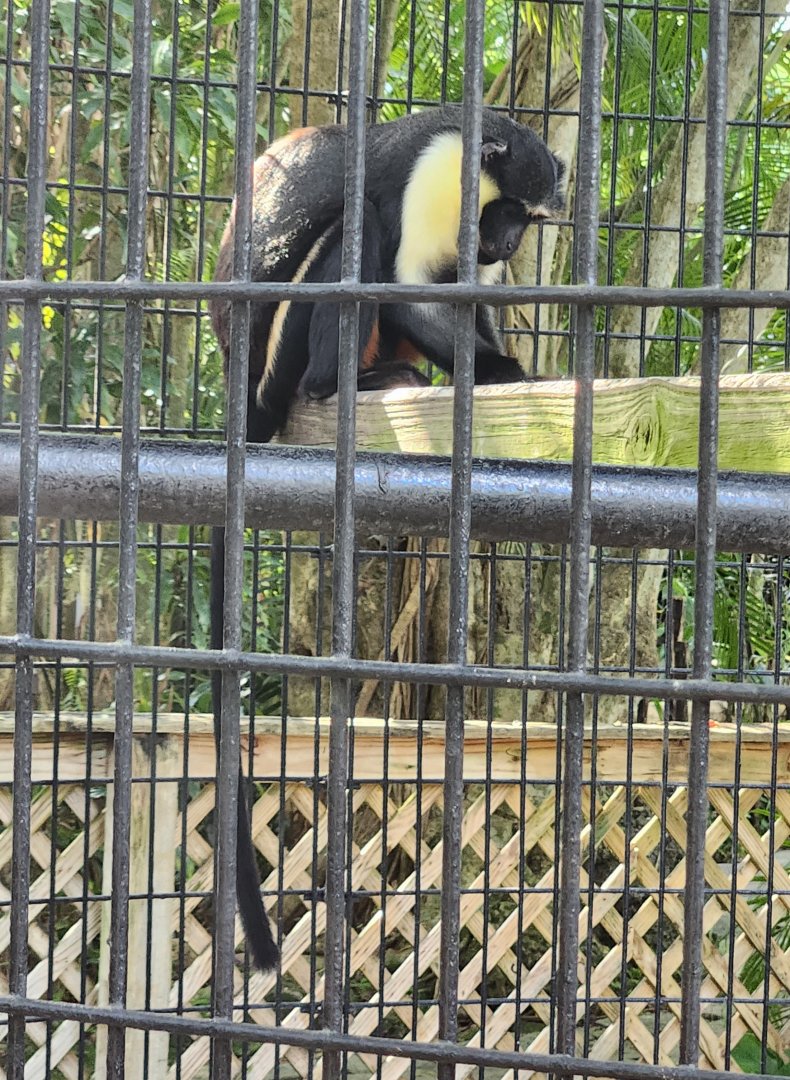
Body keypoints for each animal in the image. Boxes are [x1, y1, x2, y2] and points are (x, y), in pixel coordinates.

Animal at [209, 107, 565, 972]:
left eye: (531, 220)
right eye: (509, 210)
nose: (506, 245)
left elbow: (461, 301)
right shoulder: (438, 172)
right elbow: (404, 279)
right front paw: (505, 374)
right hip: (287, 351)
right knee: (359, 233)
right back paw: (347, 382)